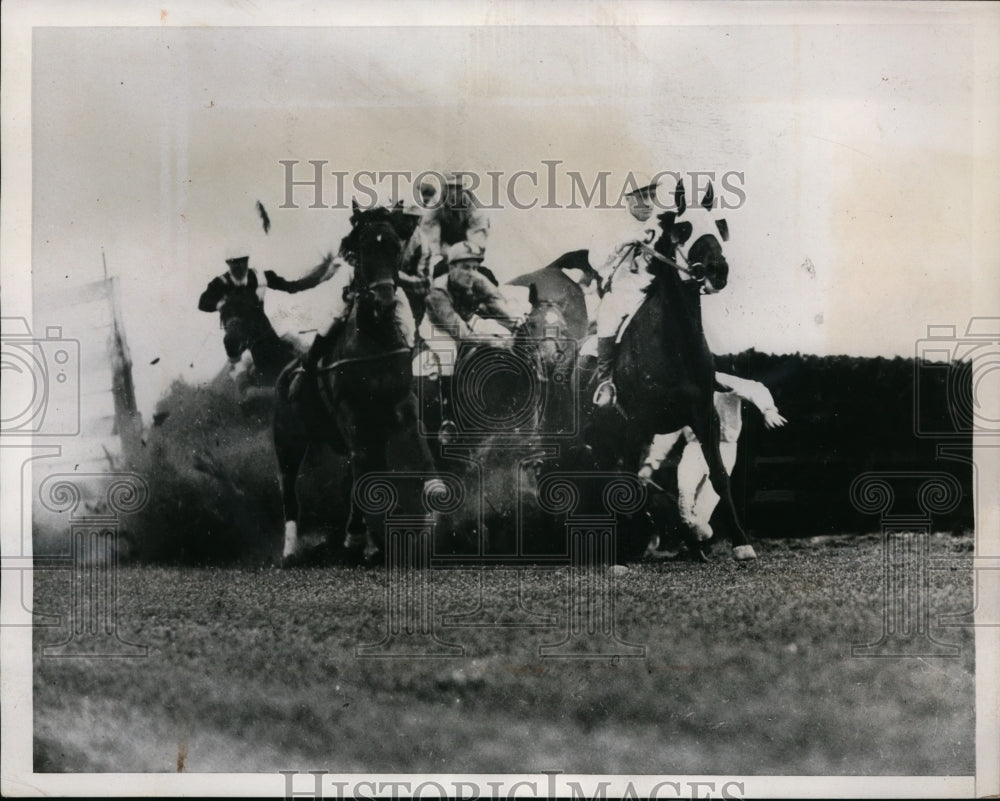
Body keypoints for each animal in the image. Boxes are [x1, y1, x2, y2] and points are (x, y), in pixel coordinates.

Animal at [272, 208, 440, 568]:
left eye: (393, 246)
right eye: (363, 248)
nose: (384, 300)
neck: (374, 339)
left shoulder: (401, 402)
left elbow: (415, 443)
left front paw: (434, 490)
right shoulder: (350, 412)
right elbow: (361, 465)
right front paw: (355, 535)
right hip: (288, 440)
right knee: (289, 490)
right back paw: (291, 550)